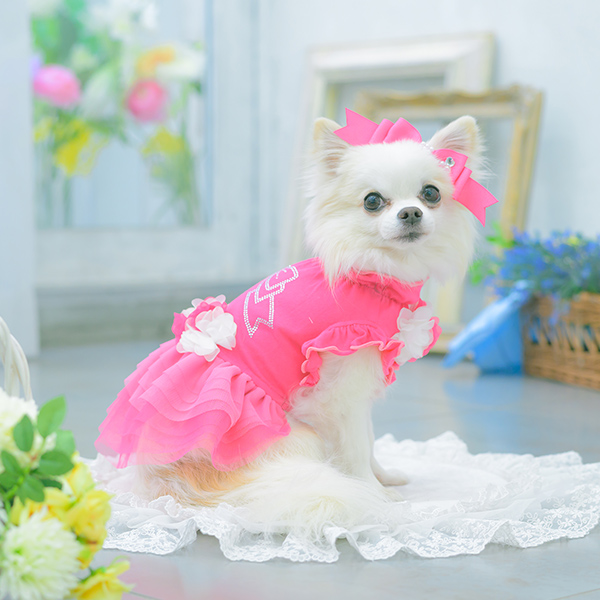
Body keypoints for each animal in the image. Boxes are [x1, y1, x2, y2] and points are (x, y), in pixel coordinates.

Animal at [97, 110, 492, 541]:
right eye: (372, 201)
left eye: (431, 194)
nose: (411, 213)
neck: (372, 275)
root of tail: (168, 483)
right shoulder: (342, 388)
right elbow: (357, 446)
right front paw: (374, 493)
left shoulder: (359, 386)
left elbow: (369, 440)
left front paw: (383, 477)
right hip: (299, 438)